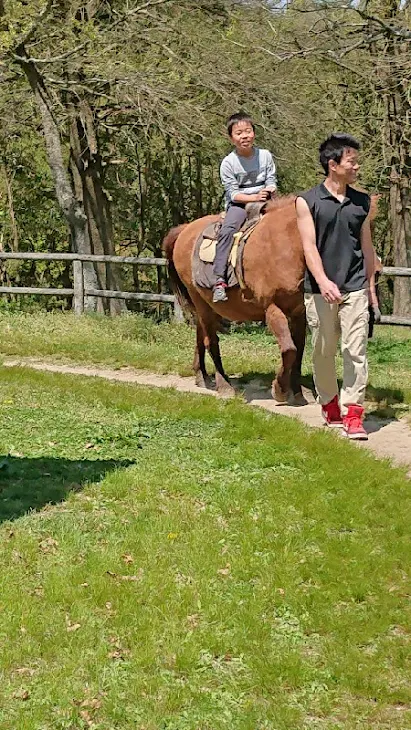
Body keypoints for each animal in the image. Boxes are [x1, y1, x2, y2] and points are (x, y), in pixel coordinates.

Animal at [163, 195, 308, 404]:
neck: (285, 244)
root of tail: (185, 229)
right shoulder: (272, 308)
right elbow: (289, 350)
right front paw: (279, 390)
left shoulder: (299, 312)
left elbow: (299, 351)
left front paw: (297, 393)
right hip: (199, 300)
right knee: (211, 341)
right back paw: (224, 386)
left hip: (204, 304)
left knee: (201, 335)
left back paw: (202, 376)